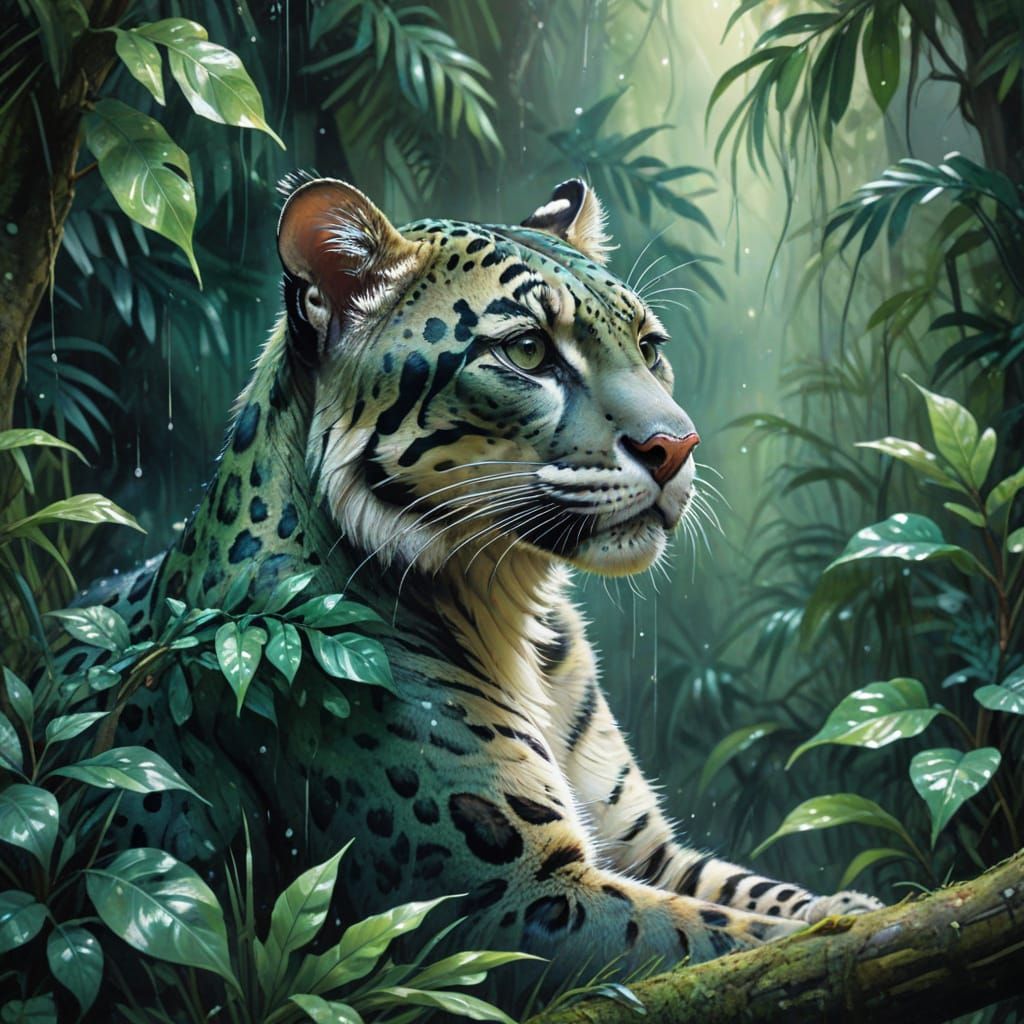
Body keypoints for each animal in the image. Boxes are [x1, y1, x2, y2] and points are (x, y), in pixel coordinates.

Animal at [54, 175, 880, 990]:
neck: (514, 604)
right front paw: (844, 931)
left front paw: (848, 904)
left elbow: (747, 894)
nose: (677, 447)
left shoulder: (645, 850)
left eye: (649, 348)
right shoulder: (512, 900)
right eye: (528, 350)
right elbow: (721, 934)